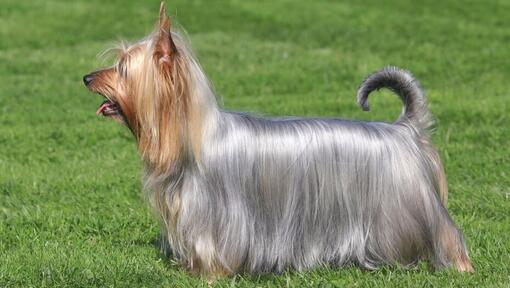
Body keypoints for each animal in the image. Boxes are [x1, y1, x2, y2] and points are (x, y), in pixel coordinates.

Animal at [82, 2, 474, 276]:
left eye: (122, 69)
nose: (86, 77)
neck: (193, 140)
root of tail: (403, 128)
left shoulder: (219, 217)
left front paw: (210, 273)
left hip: (409, 205)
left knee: (446, 234)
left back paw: (458, 265)